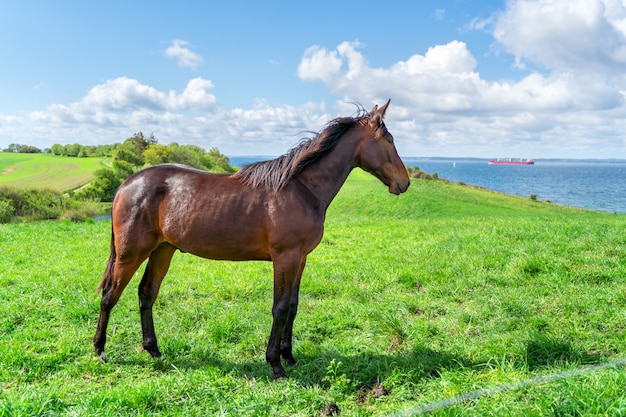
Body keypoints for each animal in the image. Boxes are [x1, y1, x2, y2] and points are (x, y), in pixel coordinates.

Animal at [91, 99, 404, 378]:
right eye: (388, 139)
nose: (403, 182)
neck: (302, 189)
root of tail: (126, 184)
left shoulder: (300, 259)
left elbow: (293, 306)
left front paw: (289, 356)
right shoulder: (285, 258)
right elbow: (280, 308)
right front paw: (275, 364)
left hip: (162, 250)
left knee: (146, 294)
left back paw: (154, 350)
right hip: (130, 253)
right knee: (110, 296)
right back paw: (100, 350)